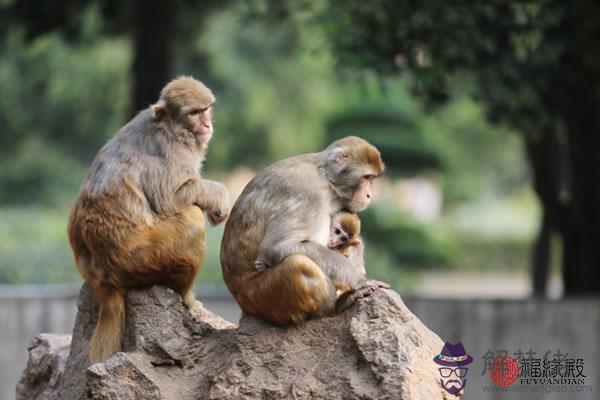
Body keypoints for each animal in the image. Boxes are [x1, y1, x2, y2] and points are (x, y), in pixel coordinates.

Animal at [68, 75, 230, 362]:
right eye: (194, 113)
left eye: (206, 109)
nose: (207, 124)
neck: (171, 128)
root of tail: (103, 278)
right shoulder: (173, 151)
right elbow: (170, 198)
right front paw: (218, 198)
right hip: (141, 260)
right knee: (190, 218)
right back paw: (187, 299)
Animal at [220, 135, 390, 324]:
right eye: (366, 177)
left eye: (372, 178)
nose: (369, 195)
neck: (326, 179)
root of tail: (243, 306)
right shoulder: (309, 195)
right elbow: (275, 246)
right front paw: (358, 280)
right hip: (263, 298)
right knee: (298, 264)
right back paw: (336, 306)